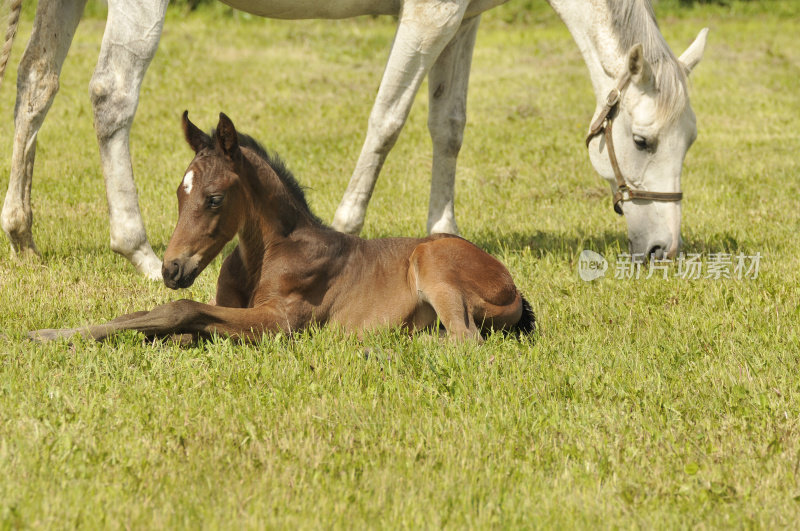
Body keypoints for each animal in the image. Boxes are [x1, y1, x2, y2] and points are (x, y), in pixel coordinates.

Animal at [1, 0, 708, 280]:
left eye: (687, 144)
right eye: (643, 141)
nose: (662, 251)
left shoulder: (461, 23)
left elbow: (449, 125)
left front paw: (446, 233)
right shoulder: (428, 18)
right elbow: (387, 121)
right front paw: (346, 225)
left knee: (37, 82)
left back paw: (22, 234)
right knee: (111, 95)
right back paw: (141, 252)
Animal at [31, 114, 536, 342]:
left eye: (214, 198)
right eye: (179, 193)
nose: (171, 269)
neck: (266, 253)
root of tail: (512, 286)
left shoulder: (281, 320)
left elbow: (180, 309)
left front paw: (52, 336)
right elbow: (157, 317)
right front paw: (57, 332)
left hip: (432, 261)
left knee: (465, 339)